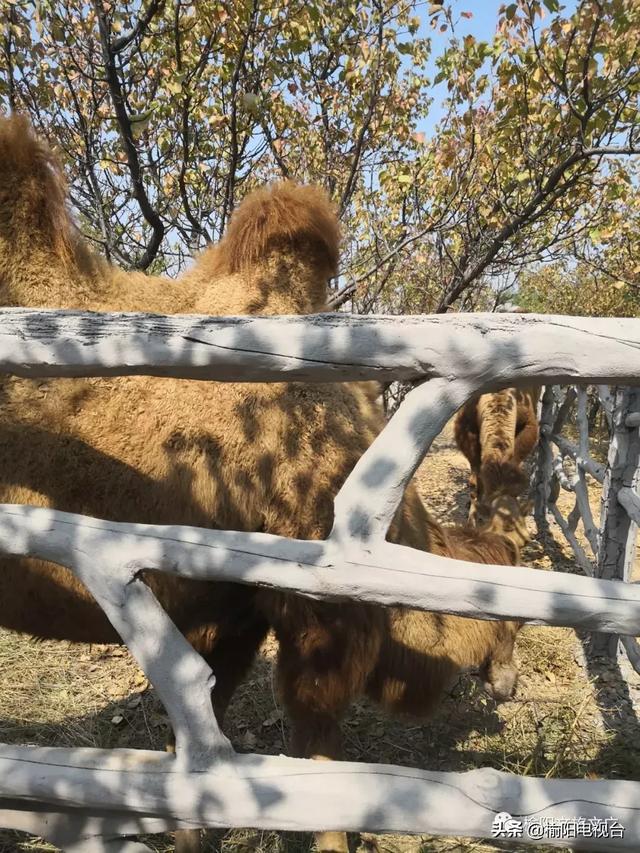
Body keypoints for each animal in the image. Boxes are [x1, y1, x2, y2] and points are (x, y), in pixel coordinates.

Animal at [0, 115, 524, 852]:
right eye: (509, 618)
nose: (510, 684)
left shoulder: (232, 611)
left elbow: (203, 729)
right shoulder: (318, 620)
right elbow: (320, 752)